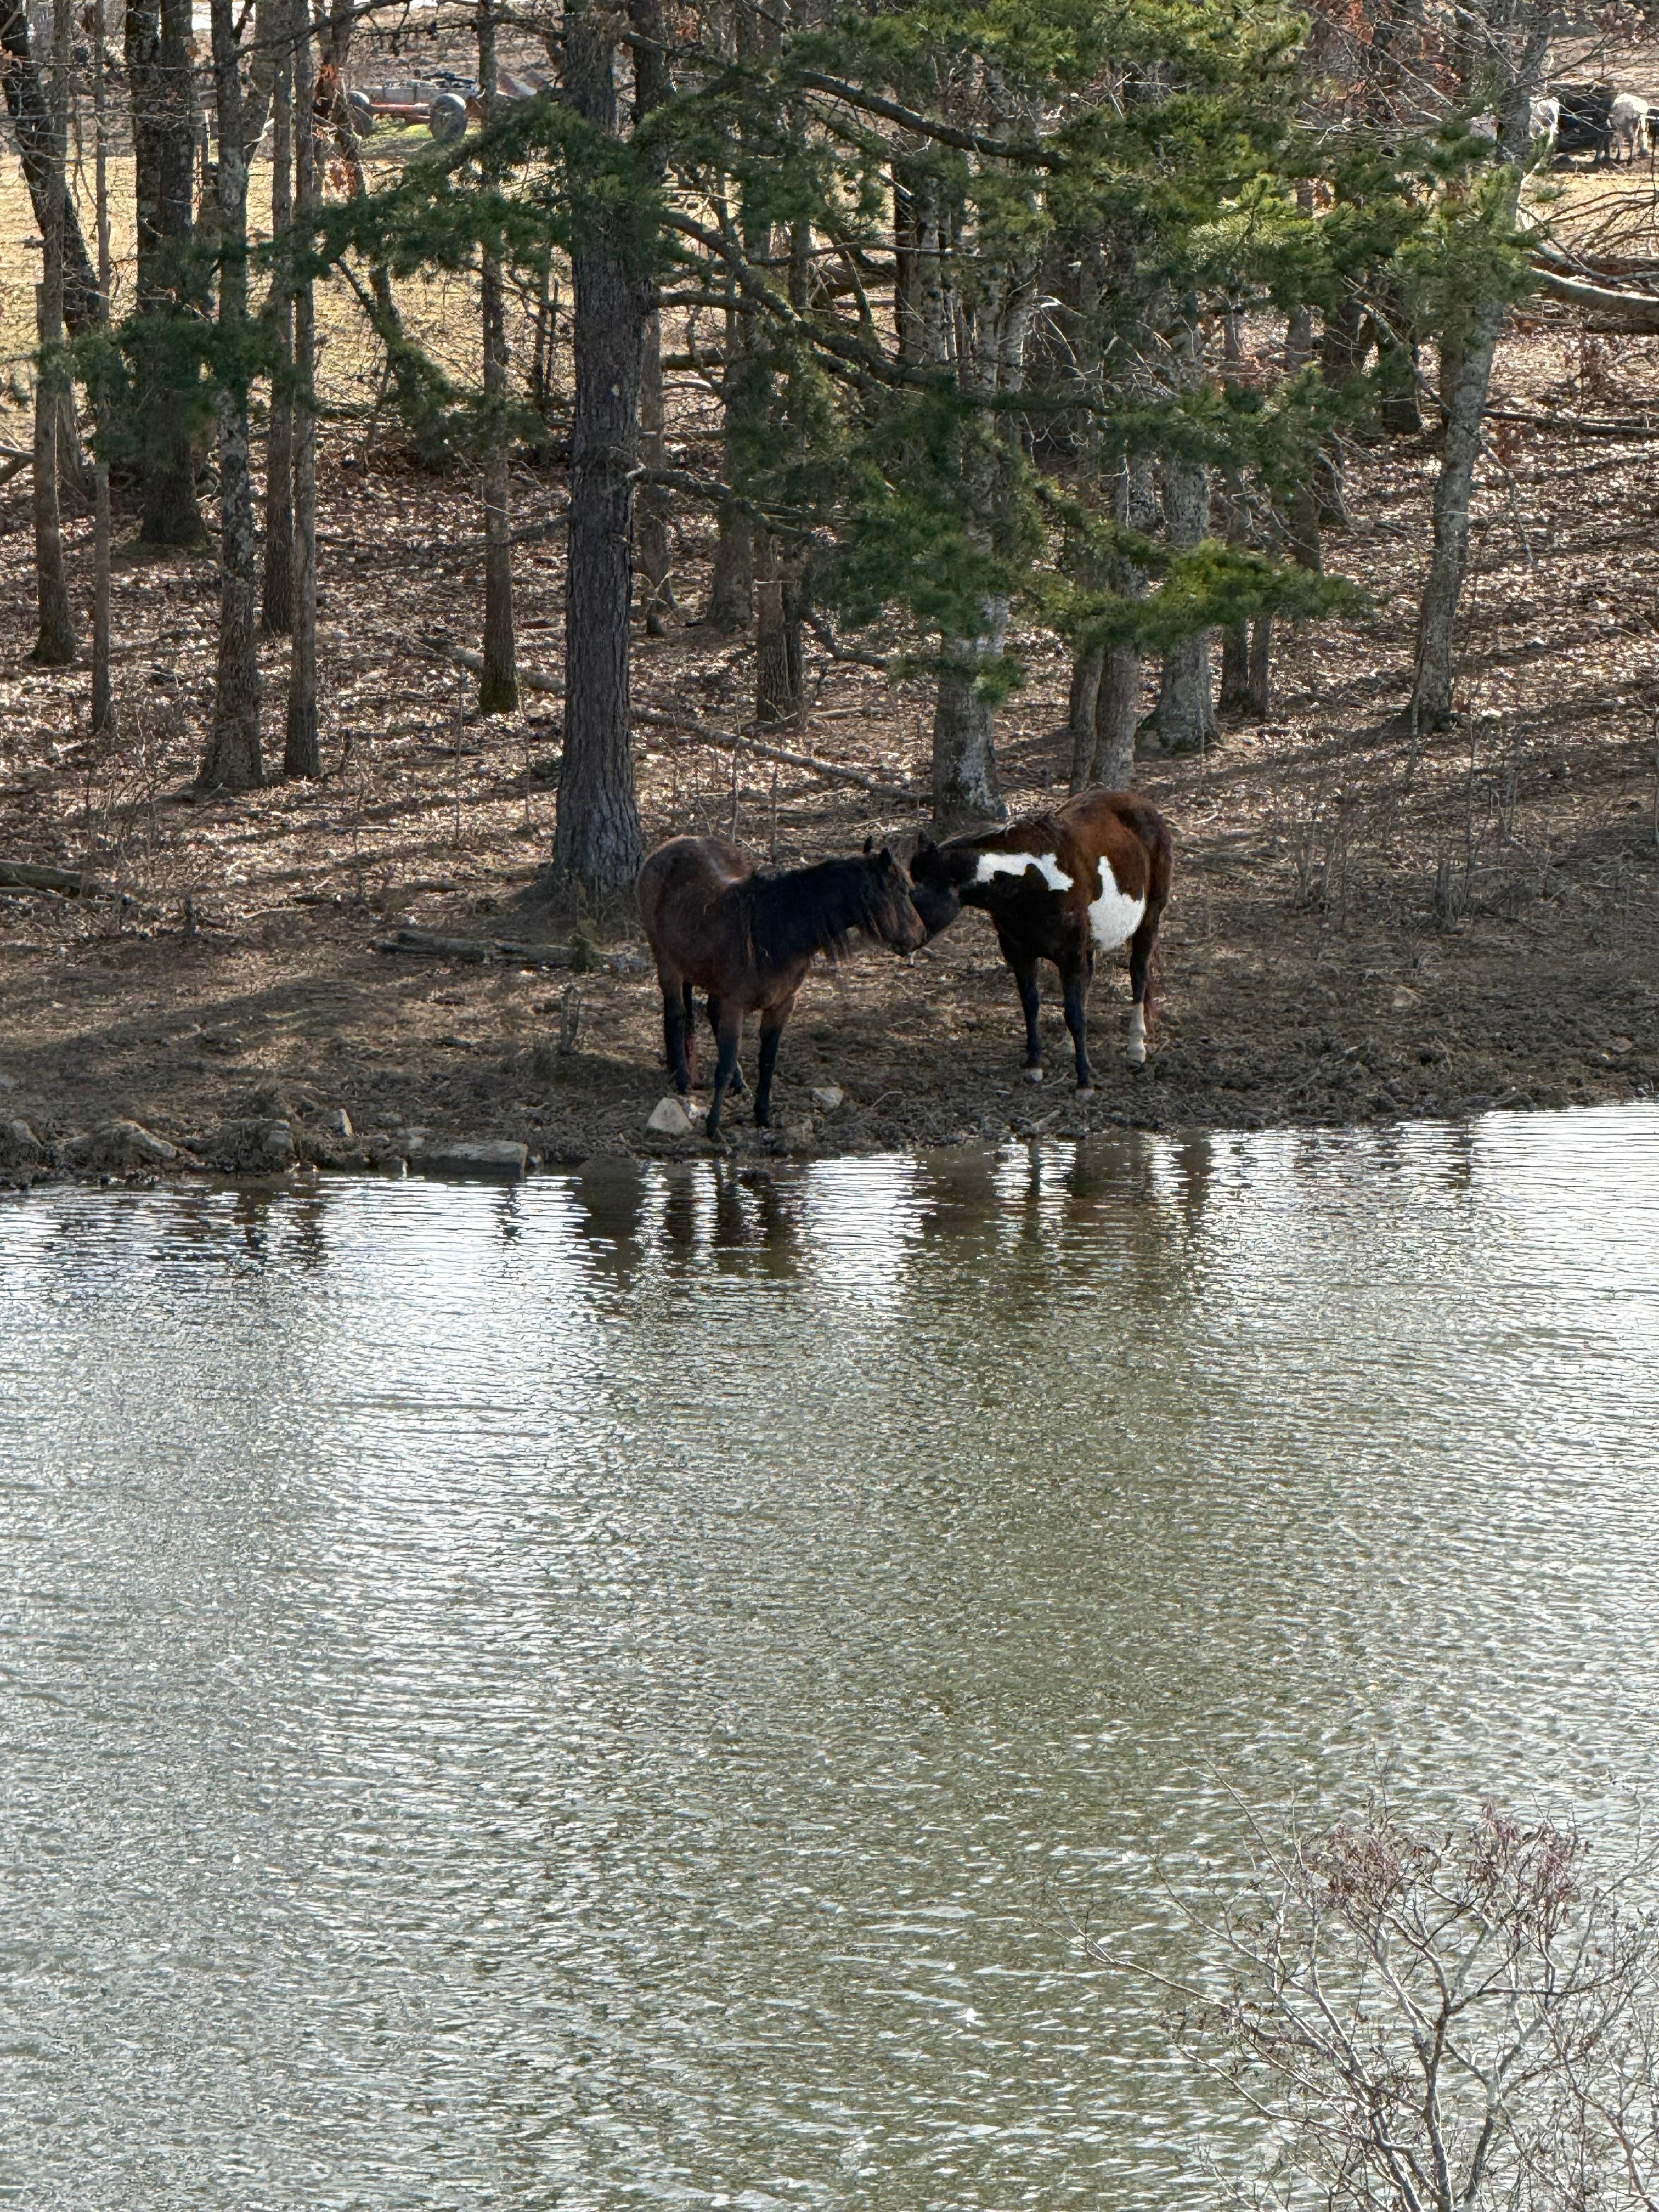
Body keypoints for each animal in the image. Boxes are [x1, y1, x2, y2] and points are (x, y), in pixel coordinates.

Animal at [637, 834, 928, 1139]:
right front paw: (714, 1125)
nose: (921, 936)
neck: (771, 933)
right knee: (676, 1015)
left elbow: (768, 1061)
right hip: (666, 960)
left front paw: (762, 1114)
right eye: (903, 891)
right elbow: (724, 1064)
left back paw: (737, 1083)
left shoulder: (782, 1005)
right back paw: (682, 1079)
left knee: (708, 1014)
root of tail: (670, 845)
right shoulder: (735, 1004)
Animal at [907, 788, 1173, 1091]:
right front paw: (1035, 1064)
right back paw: (1070, 1044)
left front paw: (1084, 1080)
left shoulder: (1069, 956)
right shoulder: (1020, 954)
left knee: (1139, 974)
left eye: (921, 891)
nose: (906, 942)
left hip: (1149, 920)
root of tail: (1142, 805)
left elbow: (1074, 1014)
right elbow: (1032, 1006)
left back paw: (1136, 1047)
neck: (1033, 879)